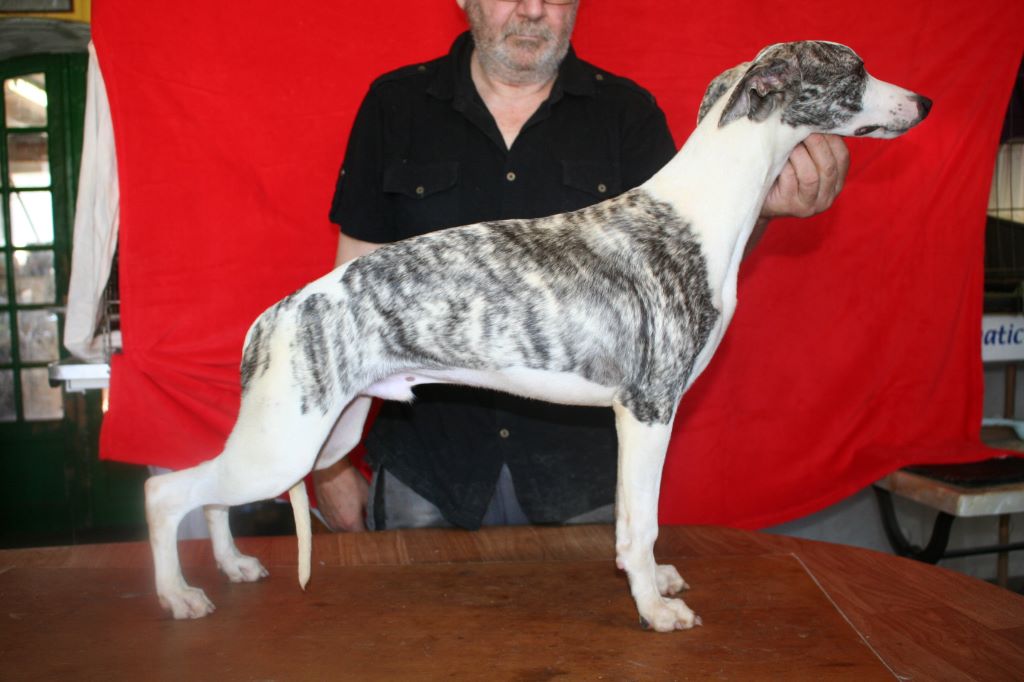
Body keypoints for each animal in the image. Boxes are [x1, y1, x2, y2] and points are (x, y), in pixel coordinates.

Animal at [145, 41, 930, 631]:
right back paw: (179, 595)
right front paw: (654, 609)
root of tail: (277, 312)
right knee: (168, 490)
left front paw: (655, 582)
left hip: (322, 436)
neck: (698, 209)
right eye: (856, 69)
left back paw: (235, 565)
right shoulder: (648, 409)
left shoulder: (638, 417)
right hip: (285, 443)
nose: (924, 104)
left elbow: (634, 523)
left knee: (208, 492)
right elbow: (641, 522)